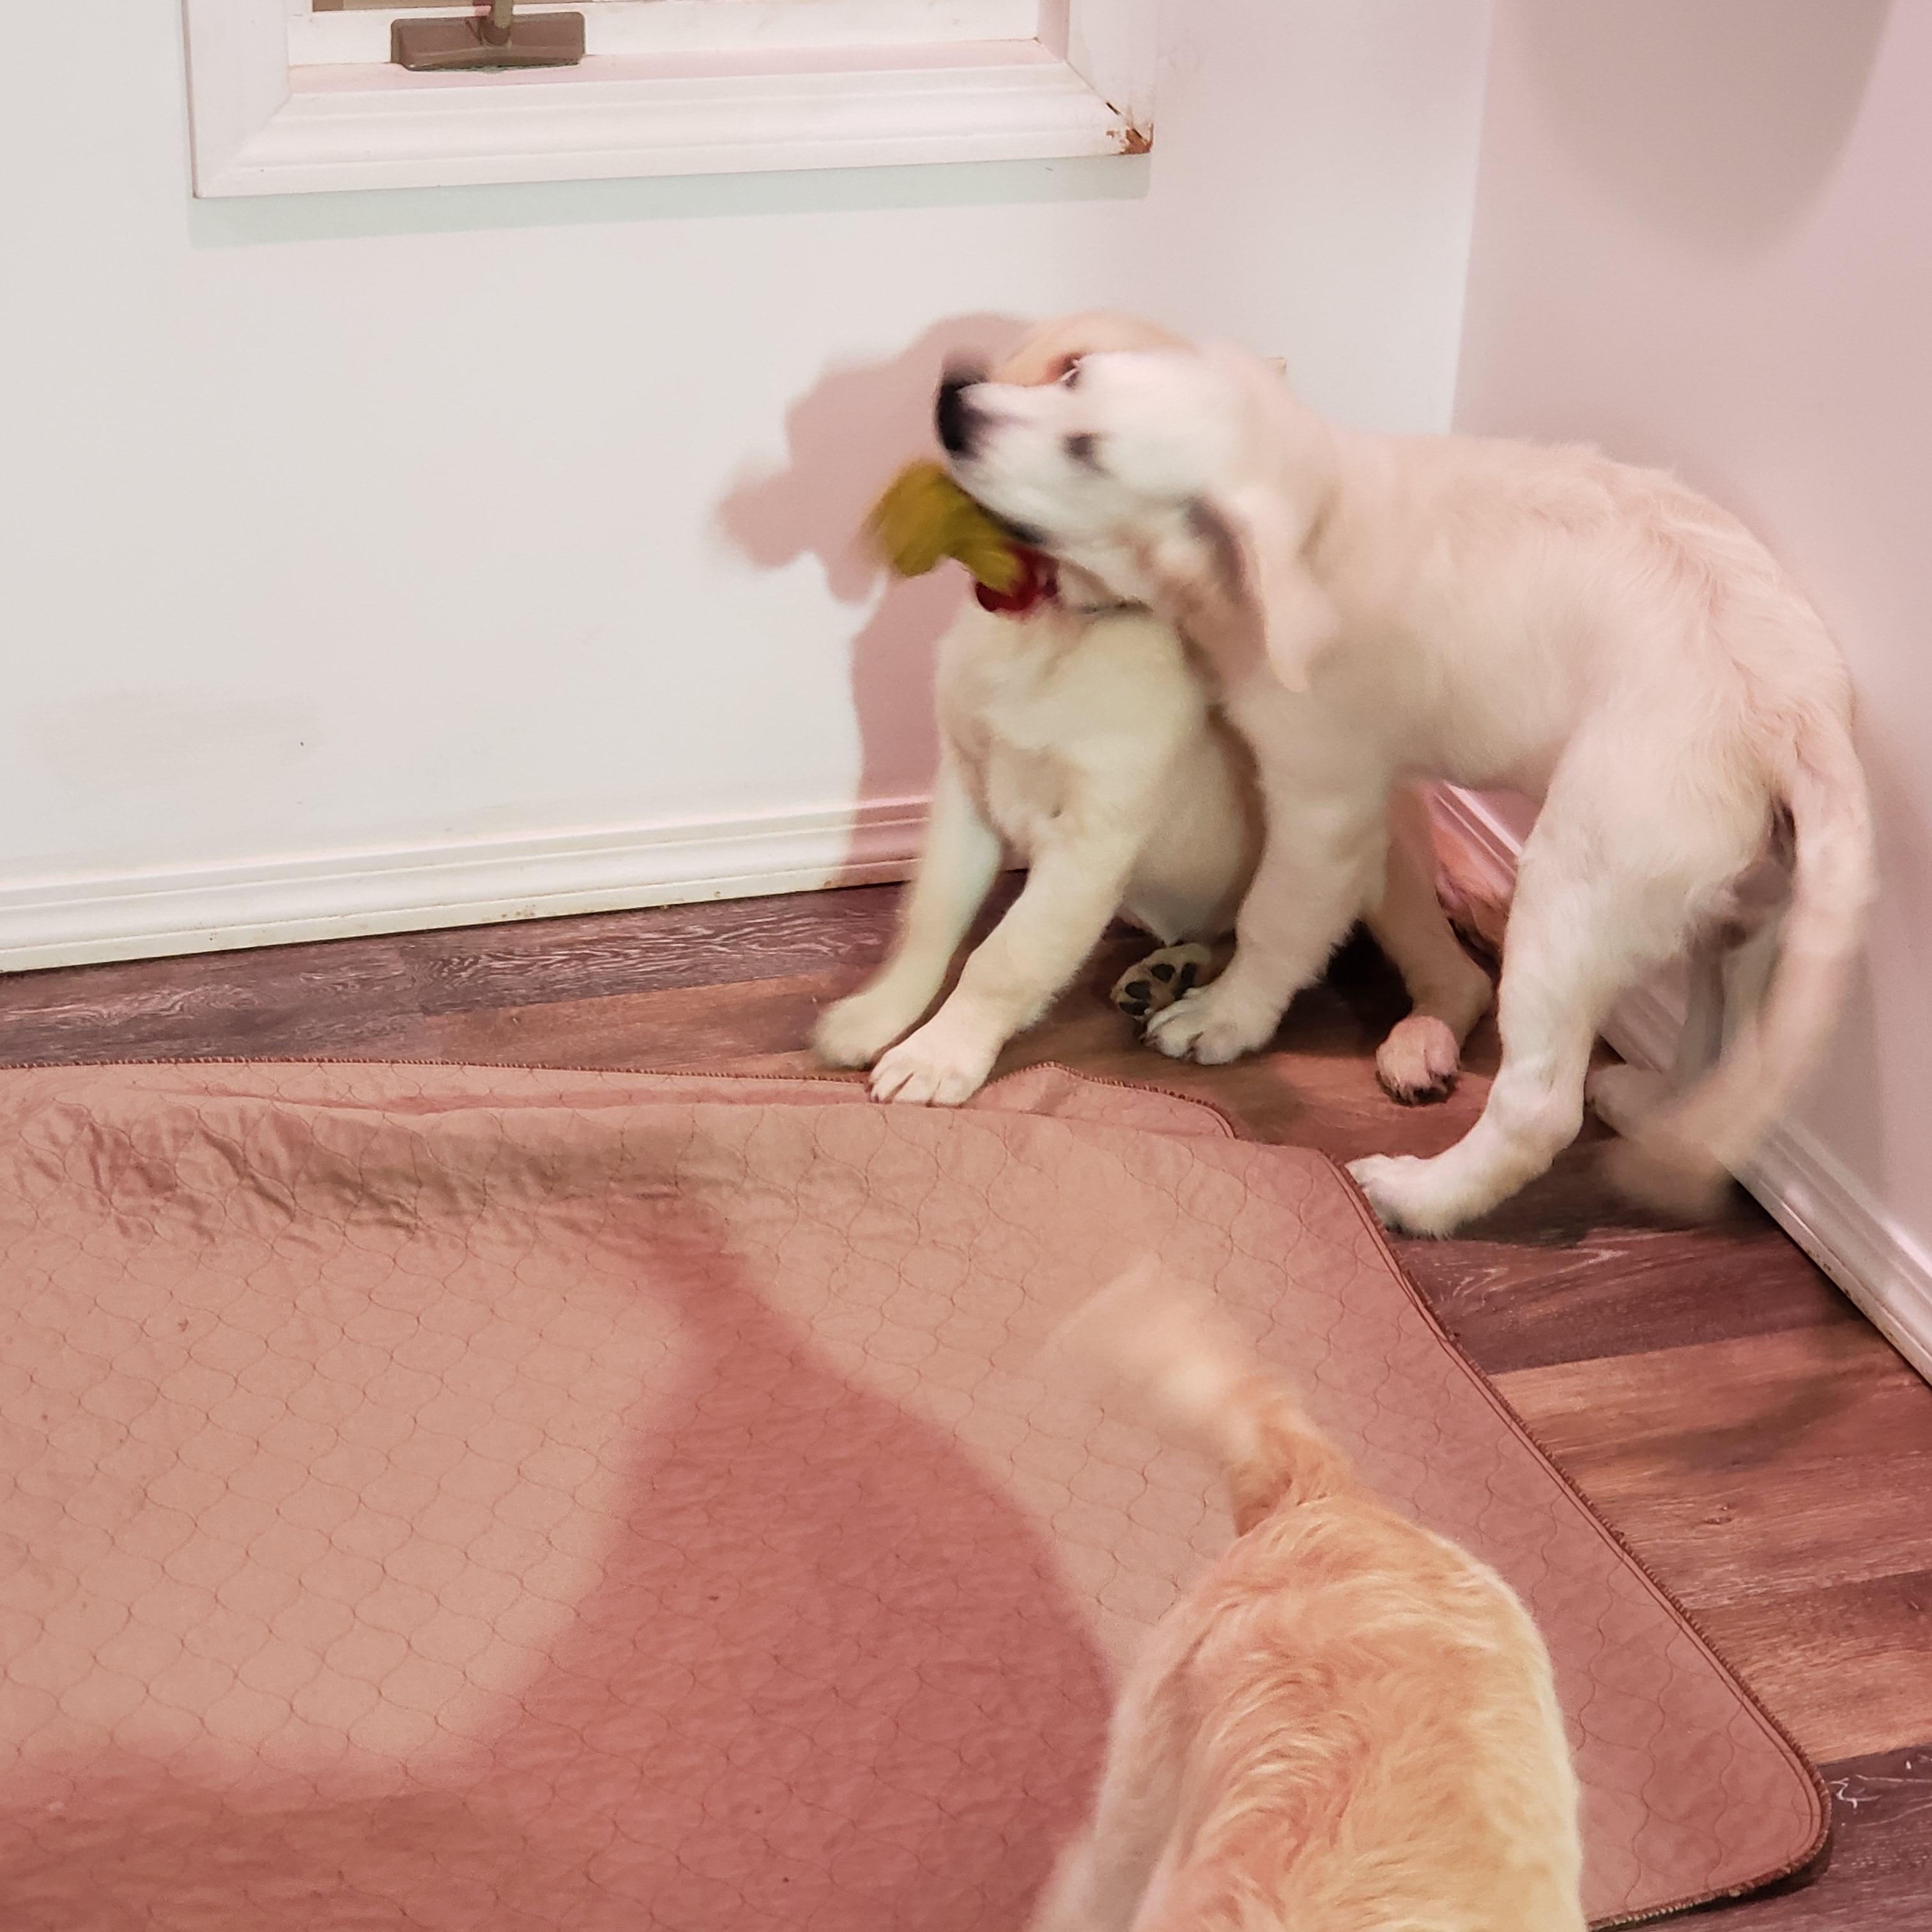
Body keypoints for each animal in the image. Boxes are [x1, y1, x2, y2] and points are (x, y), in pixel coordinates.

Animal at [813, 328, 1492, 1108]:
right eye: (1072, 373)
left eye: (1091, 458)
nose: (955, 392)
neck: (1060, 624)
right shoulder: (966, 789)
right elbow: (929, 918)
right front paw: (878, 1015)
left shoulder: (1091, 841)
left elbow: (1004, 957)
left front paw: (940, 1053)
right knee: (1236, 931)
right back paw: (1175, 972)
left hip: (1376, 862)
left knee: (1450, 972)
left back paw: (1418, 1043)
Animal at [940, 315, 1874, 1232]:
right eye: (1072, 377)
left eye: (1088, 454)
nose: (954, 401)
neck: (1320, 517)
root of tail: (1795, 707)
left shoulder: (1325, 801)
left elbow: (1277, 922)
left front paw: (1226, 1018)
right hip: (1745, 925)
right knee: (1719, 1060)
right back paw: (1647, 1104)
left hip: (1579, 888)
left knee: (1536, 1102)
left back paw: (1419, 1195)